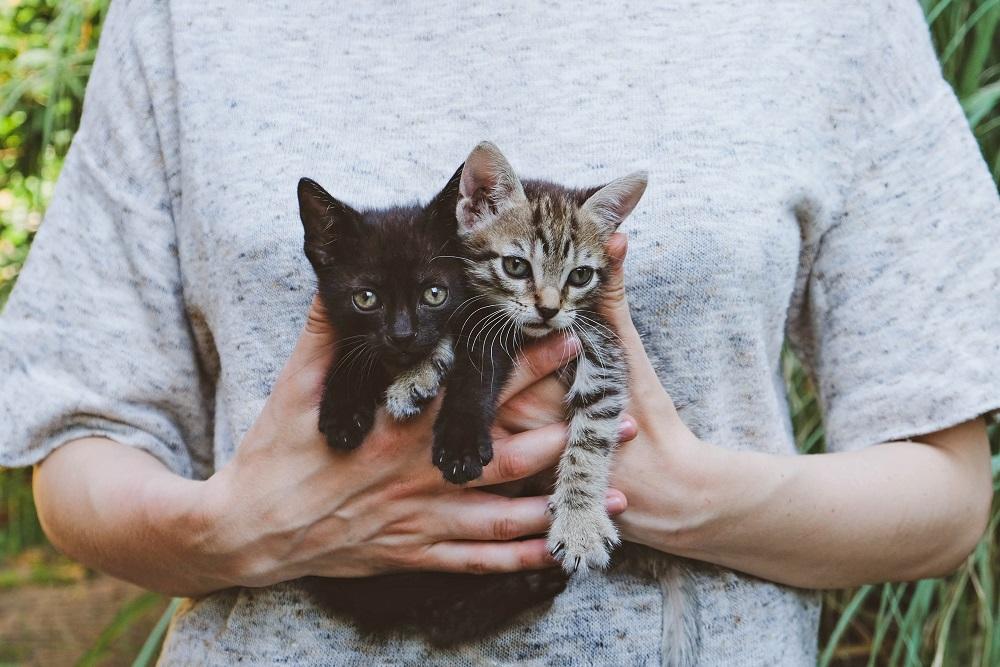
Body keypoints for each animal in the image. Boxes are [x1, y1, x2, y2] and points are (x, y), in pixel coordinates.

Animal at [292, 167, 568, 648]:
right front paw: (343, 412)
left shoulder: (492, 320)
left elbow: (476, 370)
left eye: (435, 294)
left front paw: (459, 445)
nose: (403, 335)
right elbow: (352, 352)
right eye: (366, 298)